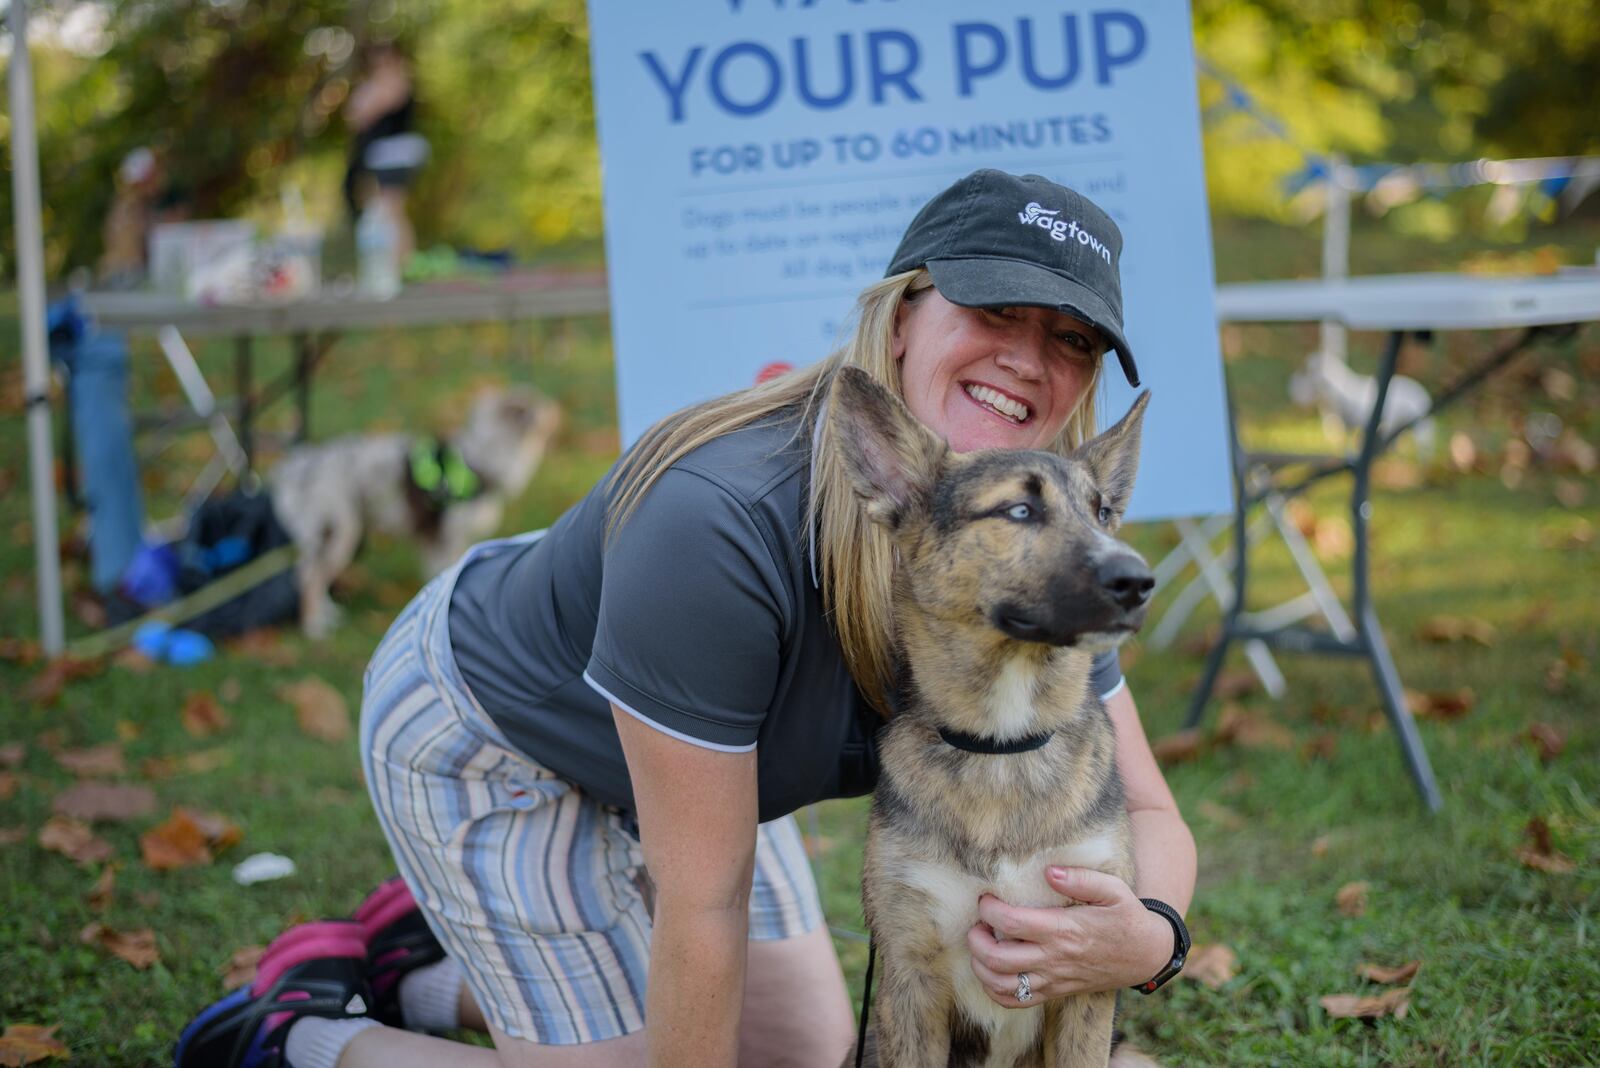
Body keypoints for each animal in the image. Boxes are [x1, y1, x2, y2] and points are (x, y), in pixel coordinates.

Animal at [276, 383, 569, 633]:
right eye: (539, 404)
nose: (558, 408)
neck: (481, 458)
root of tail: (293, 469)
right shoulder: (443, 537)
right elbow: (447, 571)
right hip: (340, 530)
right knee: (310, 577)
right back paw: (314, 624)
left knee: (308, 572)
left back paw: (327, 612)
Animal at [832, 369, 1158, 1068]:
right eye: (1019, 511)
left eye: (1102, 513)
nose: (1140, 582)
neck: (1003, 745)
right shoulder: (909, 977)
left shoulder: (1088, 975)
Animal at [1286, 350, 1440, 460]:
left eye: (1305, 373)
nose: (1291, 387)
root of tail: (1423, 393)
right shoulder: (1348, 424)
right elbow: (1348, 440)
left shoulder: (1368, 423)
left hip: (1419, 426)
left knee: (1424, 448)